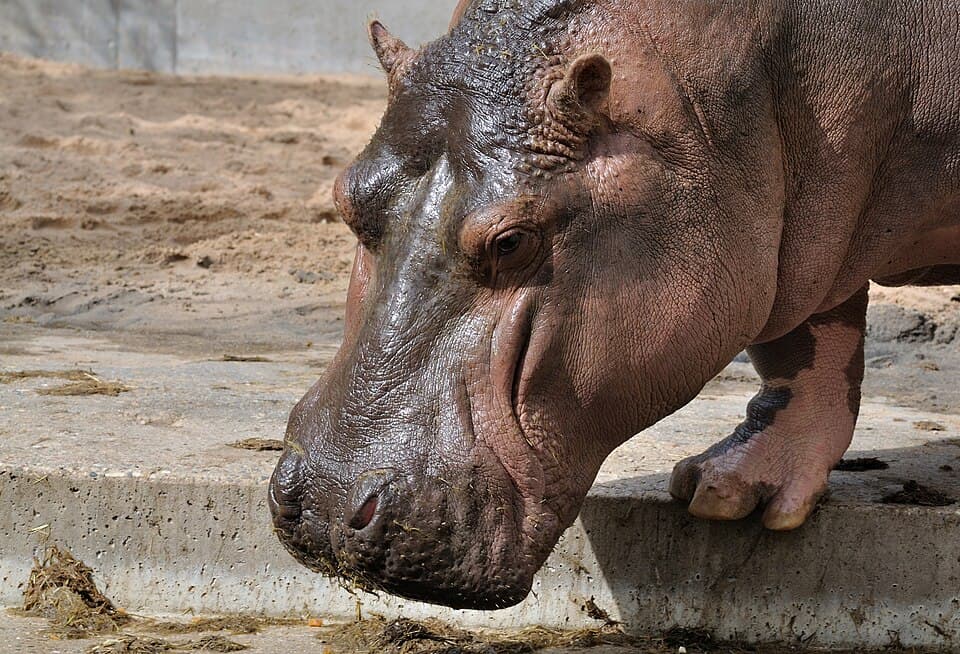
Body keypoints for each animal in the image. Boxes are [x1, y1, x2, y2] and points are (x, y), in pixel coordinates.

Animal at [269, 0, 960, 610]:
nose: (328, 501)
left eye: (512, 241)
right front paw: (724, 494)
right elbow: (806, 346)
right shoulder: (803, 240)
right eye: (346, 195)